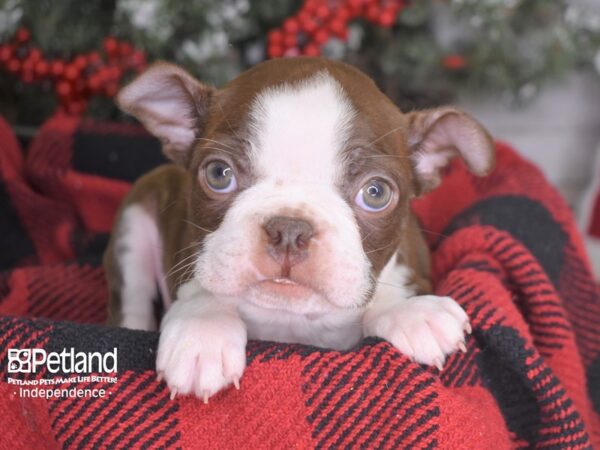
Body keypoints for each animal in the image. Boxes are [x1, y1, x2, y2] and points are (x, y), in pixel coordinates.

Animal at [103, 57, 494, 404]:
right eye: (218, 173)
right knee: (131, 301)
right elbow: (204, 288)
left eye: (376, 193)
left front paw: (410, 312)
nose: (289, 229)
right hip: (134, 219)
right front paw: (203, 330)